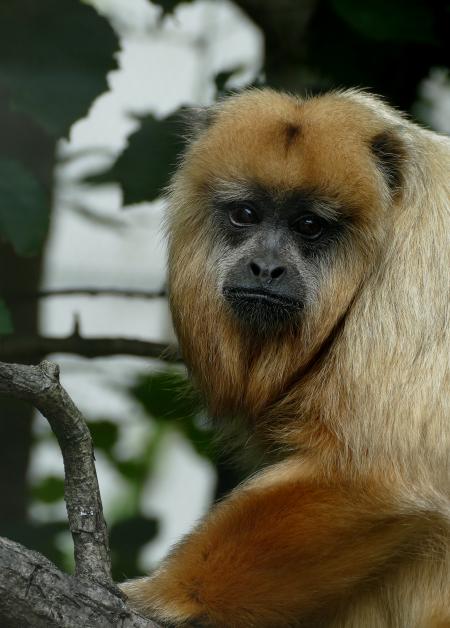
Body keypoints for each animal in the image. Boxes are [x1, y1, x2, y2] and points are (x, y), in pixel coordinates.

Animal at [120, 89, 450, 628]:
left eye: (309, 226)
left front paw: (171, 596)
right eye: (246, 214)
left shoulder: (421, 271)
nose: (266, 267)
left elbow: (377, 473)